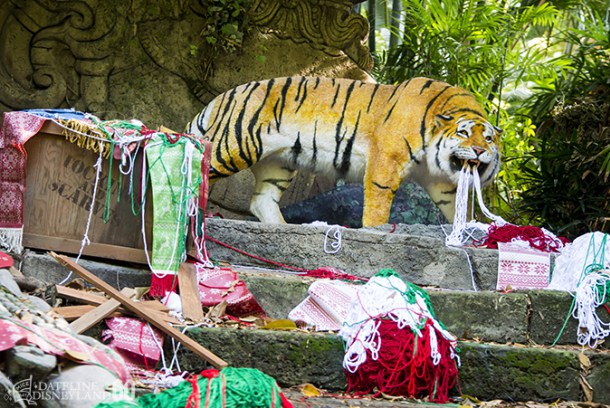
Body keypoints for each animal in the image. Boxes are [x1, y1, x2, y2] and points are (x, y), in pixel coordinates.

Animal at [185, 76, 498, 226]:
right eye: (463, 133)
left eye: (489, 138)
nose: (479, 150)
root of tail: (223, 96)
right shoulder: (385, 161)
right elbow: (378, 205)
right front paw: (375, 231)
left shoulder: (441, 184)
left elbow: (455, 209)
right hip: (234, 147)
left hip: (278, 163)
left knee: (261, 202)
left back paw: (286, 227)